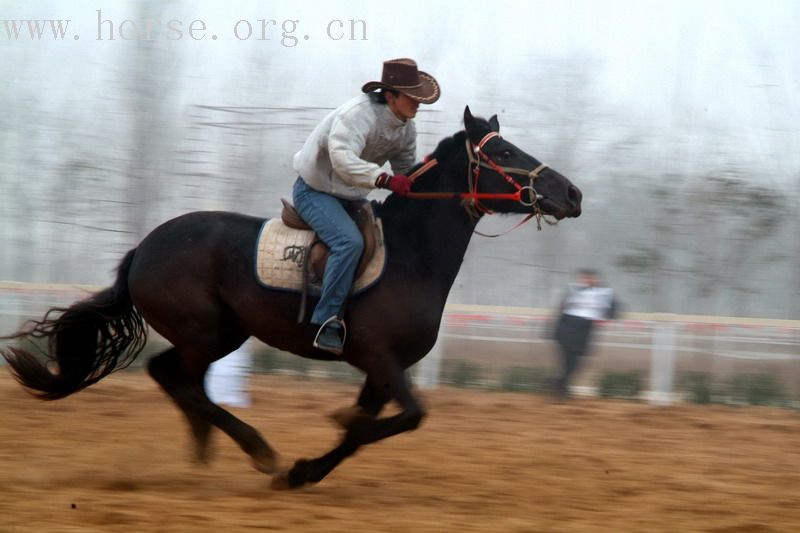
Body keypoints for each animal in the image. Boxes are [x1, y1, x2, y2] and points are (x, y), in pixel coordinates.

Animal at [3, 106, 584, 488]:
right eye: (504, 151)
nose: (572, 193)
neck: (410, 255)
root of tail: (143, 247)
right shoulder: (379, 357)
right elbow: (408, 416)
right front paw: (308, 456)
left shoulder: (381, 371)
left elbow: (366, 430)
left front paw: (308, 469)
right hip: (203, 331)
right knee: (177, 378)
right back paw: (256, 450)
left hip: (223, 333)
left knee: (176, 379)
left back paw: (207, 449)